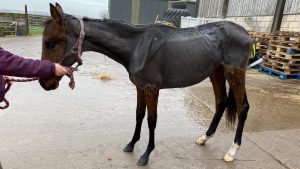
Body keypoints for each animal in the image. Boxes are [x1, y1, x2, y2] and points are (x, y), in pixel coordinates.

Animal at [38, 3, 252, 166]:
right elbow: (139, 115)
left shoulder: (151, 88)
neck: (137, 46)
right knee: (221, 102)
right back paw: (204, 138)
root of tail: (245, 33)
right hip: (216, 72)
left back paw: (232, 151)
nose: (44, 83)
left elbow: (151, 120)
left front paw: (146, 154)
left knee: (242, 107)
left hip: (235, 73)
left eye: (50, 43)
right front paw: (131, 144)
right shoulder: (140, 87)